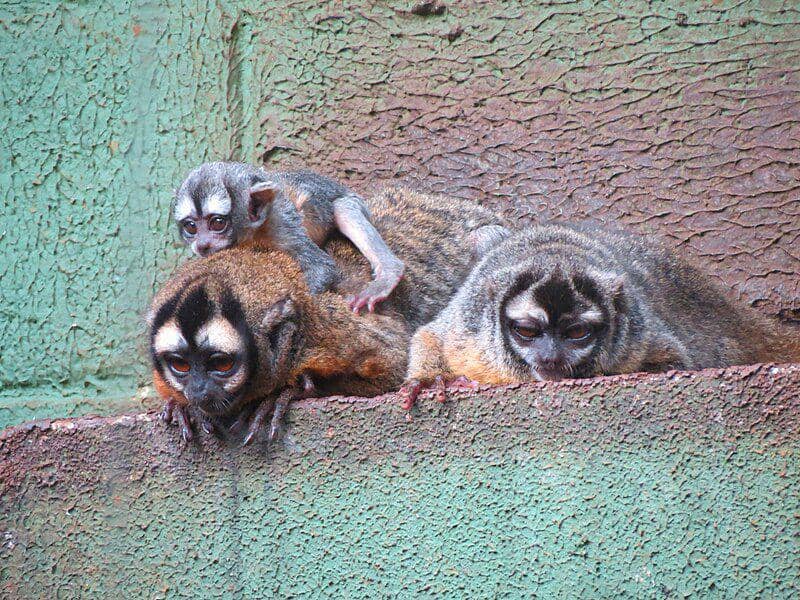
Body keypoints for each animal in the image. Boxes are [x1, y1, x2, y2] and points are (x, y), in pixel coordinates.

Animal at [151, 186, 508, 443]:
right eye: (180, 365)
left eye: (221, 364)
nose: (198, 390)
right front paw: (182, 407)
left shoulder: (336, 329)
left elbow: (393, 367)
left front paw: (286, 392)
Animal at [173, 161, 405, 312]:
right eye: (191, 227)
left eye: (218, 223)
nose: (202, 245)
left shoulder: (280, 224)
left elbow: (322, 267)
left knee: (344, 208)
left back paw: (389, 273)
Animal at [400, 223, 800, 408]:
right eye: (527, 330)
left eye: (577, 332)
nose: (550, 357)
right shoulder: (471, 334)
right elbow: (432, 334)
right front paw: (432, 381)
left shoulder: (635, 340)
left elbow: (674, 361)